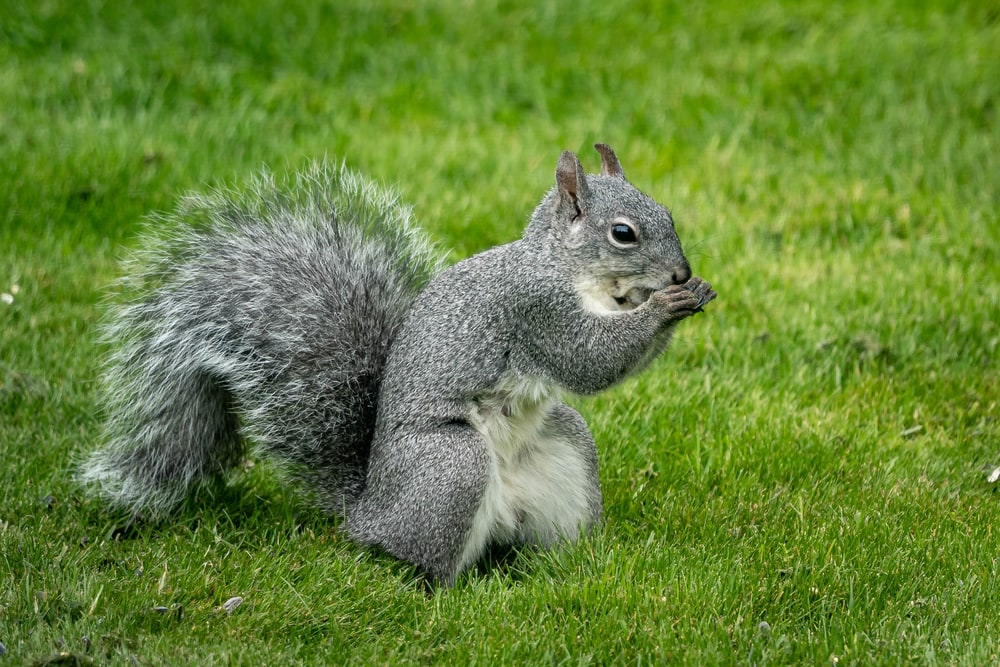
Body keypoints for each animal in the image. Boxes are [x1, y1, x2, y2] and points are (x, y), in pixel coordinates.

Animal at [79, 144, 716, 585]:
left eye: (667, 212)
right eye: (623, 234)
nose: (681, 272)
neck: (568, 271)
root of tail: (367, 512)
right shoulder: (536, 312)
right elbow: (589, 360)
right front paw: (668, 304)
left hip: (564, 449)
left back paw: (576, 562)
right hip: (451, 466)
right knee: (420, 559)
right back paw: (443, 588)